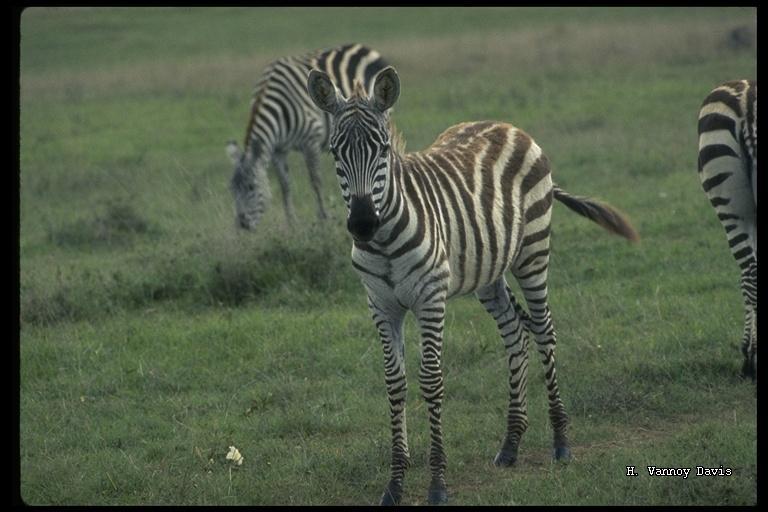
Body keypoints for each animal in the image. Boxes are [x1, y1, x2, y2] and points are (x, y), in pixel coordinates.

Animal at [225, 42, 388, 230]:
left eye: (251, 187)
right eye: (232, 190)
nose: (242, 224)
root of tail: (361, 46)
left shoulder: (310, 141)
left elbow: (315, 181)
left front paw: (323, 217)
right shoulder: (278, 149)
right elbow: (285, 184)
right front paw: (291, 221)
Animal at [308, 64, 640, 504]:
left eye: (382, 150)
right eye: (335, 152)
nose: (363, 224)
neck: (384, 240)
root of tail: (506, 125)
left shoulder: (430, 298)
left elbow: (431, 381)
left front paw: (437, 483)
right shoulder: (380, 304)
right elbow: (395, 384)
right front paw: (395, 483)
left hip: (533, 252)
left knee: (545, 330)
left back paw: (561, 440)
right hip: (489, 274)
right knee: (516, 334)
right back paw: (511, 444)